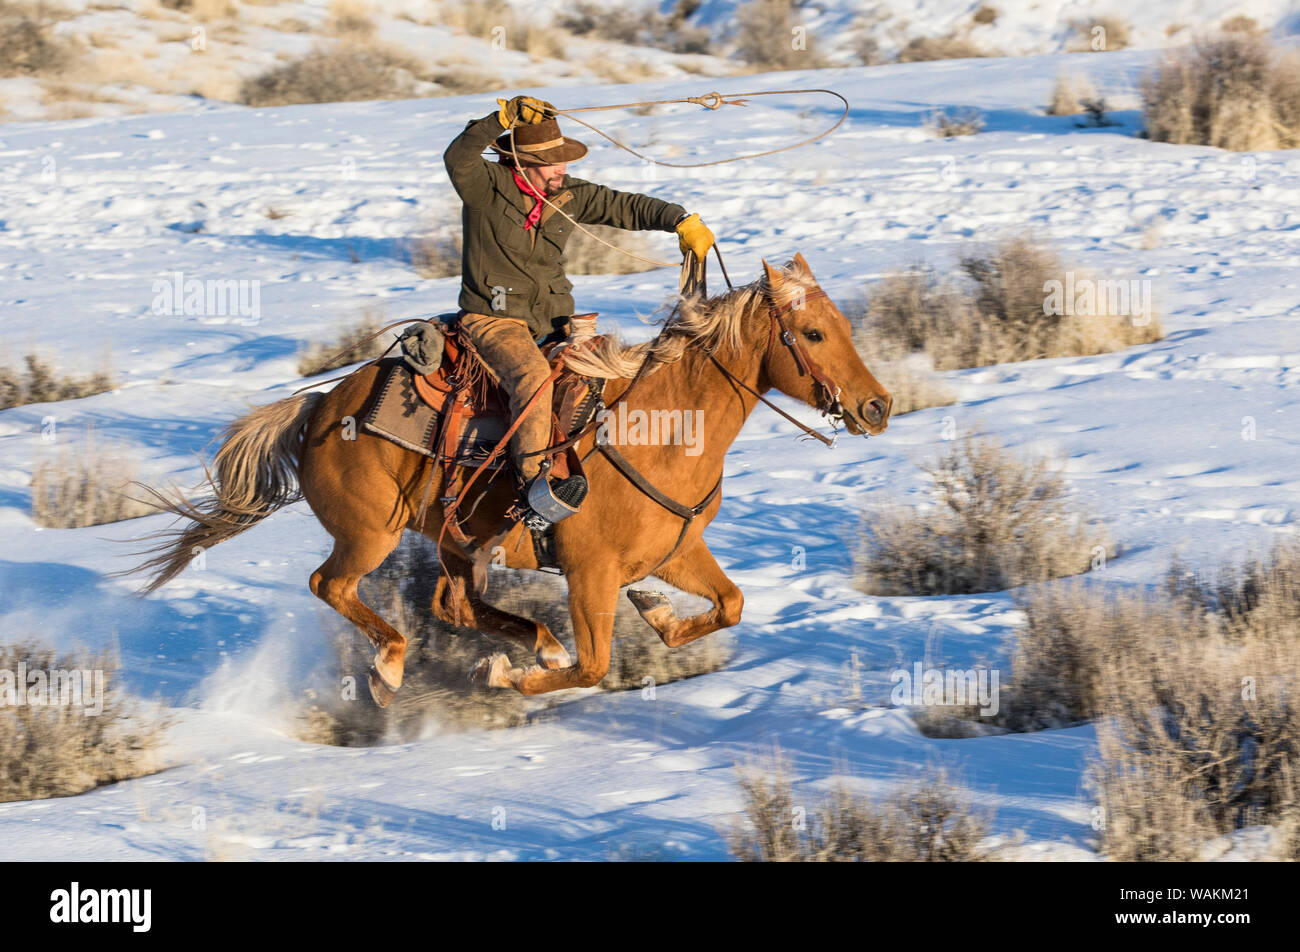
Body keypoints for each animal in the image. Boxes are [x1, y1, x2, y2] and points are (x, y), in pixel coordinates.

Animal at [131, 252, 889, 707]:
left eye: (843, 324)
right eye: (812, 335)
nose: (877, 407)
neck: (660, 434)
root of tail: (320, 407)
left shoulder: (678, 550)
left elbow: (727, 605)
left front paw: (657, 611)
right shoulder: (588, 573)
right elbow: (592, 667)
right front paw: (503, 675)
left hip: (457, 541)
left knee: (454, 605)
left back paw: (531, 642)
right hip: (370, 534)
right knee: (333, 586)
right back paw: (392, 670)